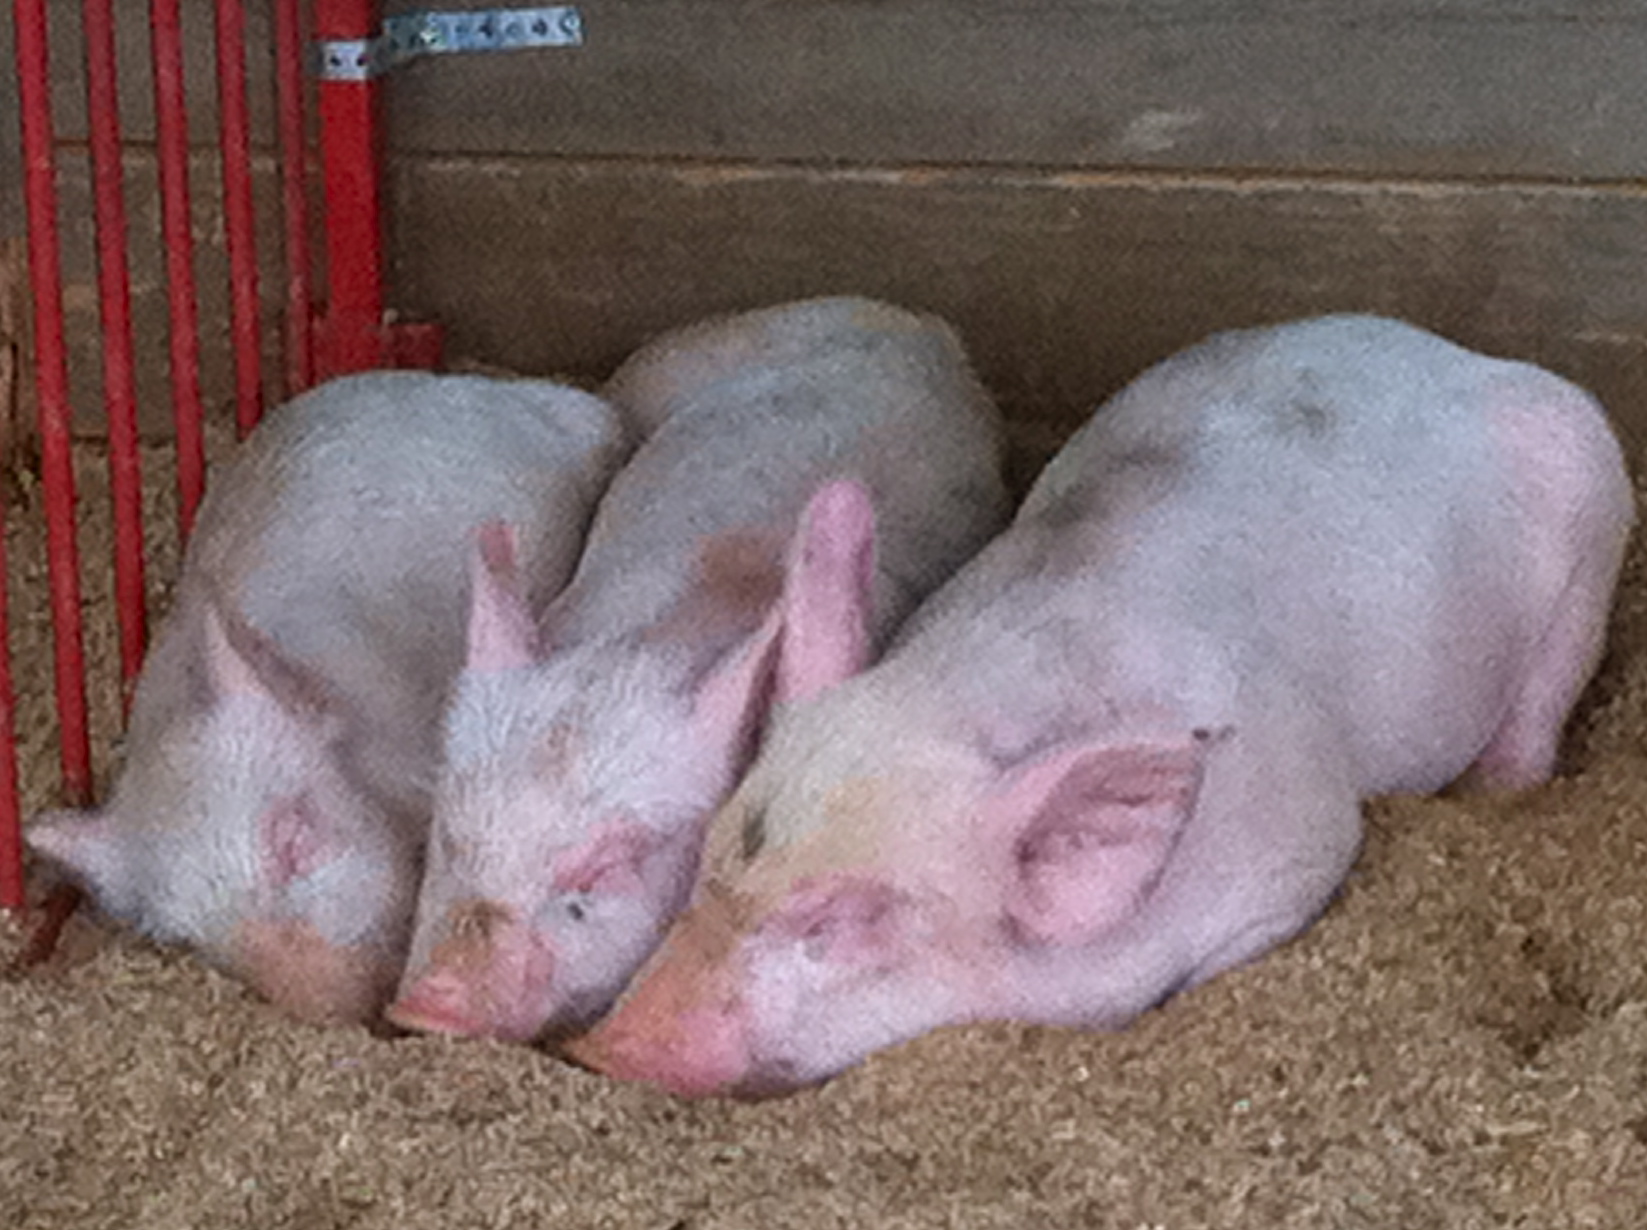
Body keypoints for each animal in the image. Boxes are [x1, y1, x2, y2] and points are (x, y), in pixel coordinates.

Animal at [569, 313, 1636, 1097]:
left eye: (840, 922)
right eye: (709, 864)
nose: (607, 1047)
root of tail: (1454, 353)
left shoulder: (1300, 849)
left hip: (1592, 541)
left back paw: (1499, 790)